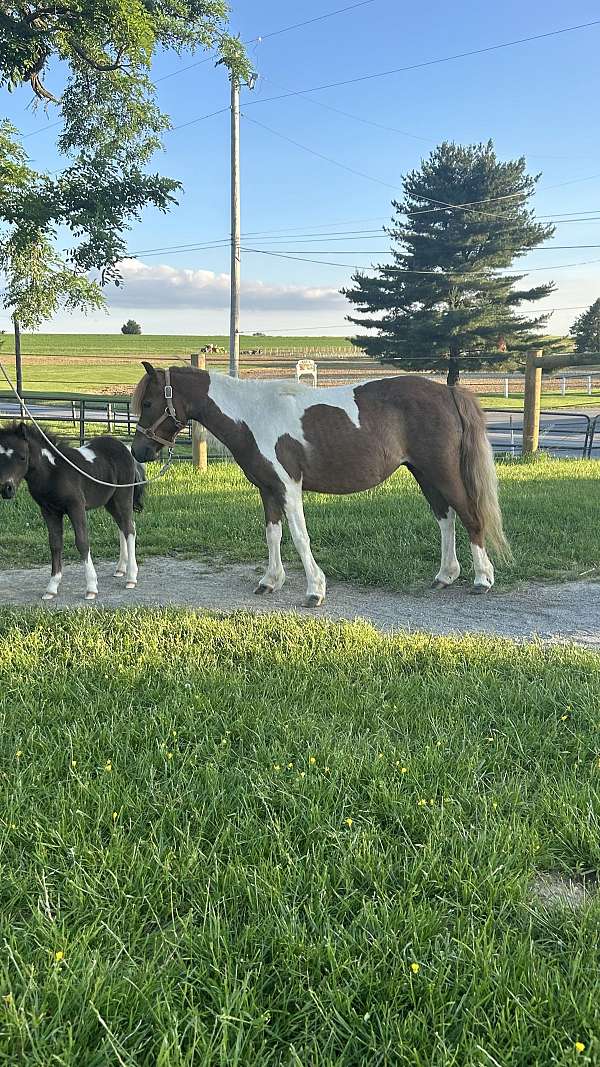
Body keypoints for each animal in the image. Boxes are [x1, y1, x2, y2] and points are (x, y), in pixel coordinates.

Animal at [0, 423, 145, 601]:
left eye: (22, 457)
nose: (6, 489)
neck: (53, 473)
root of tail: (126, 448)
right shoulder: (49, 511)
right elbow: (55, 544)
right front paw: (51, 588)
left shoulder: (76, 507)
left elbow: (82, 542)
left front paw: (91, 587)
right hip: (110, 501)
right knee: (124, 527)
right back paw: (120, 569)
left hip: (122, 496)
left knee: (129, 529)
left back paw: (131, 577)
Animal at [131, 362, 510, 606]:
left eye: (148, 402)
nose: (139, 451)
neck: (253, 415)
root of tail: (448, 392)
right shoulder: (268, 489)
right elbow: (273, 535)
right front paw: (270, 581)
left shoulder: (289, 487)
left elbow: (300, 537)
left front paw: (315, 590)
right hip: (424, 473)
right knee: (445, 519)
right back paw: (445, 576)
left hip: (442, 472)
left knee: (470, 516)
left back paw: (481, 580)